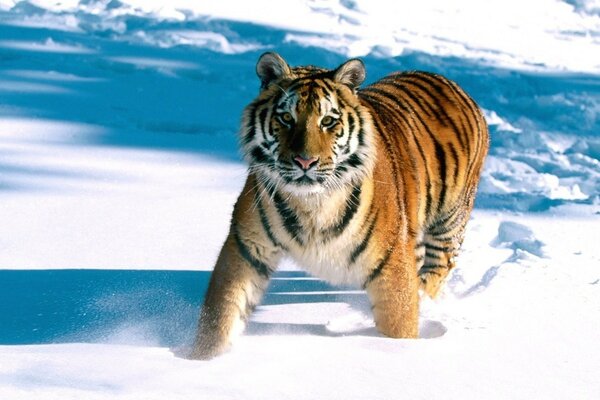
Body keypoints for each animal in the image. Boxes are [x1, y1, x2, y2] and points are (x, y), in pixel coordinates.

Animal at [190, 50, 490, 360]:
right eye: (286, 118)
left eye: (327, 121)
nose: (305, 161)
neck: (312, 203)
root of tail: (449, 81)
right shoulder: (247, 246)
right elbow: (222, 312)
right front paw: (198, 358)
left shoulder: (391, 262)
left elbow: (399, 322)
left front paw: (399, 350)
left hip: (448, 223)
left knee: (437, 269)